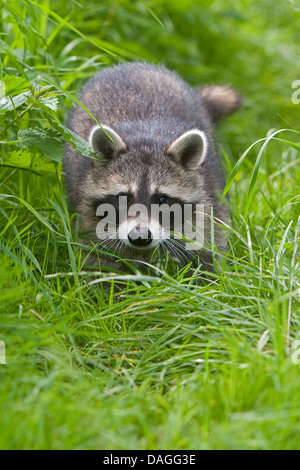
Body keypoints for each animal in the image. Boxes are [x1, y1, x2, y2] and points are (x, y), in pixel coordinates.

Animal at [63, 60, 241, 270]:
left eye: (162, 199)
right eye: (123, 197)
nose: (139, 237)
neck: (146, 139)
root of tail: (133, 64)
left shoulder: (207, 197)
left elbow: (208, 245)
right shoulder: (88, 207)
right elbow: (98, 256)